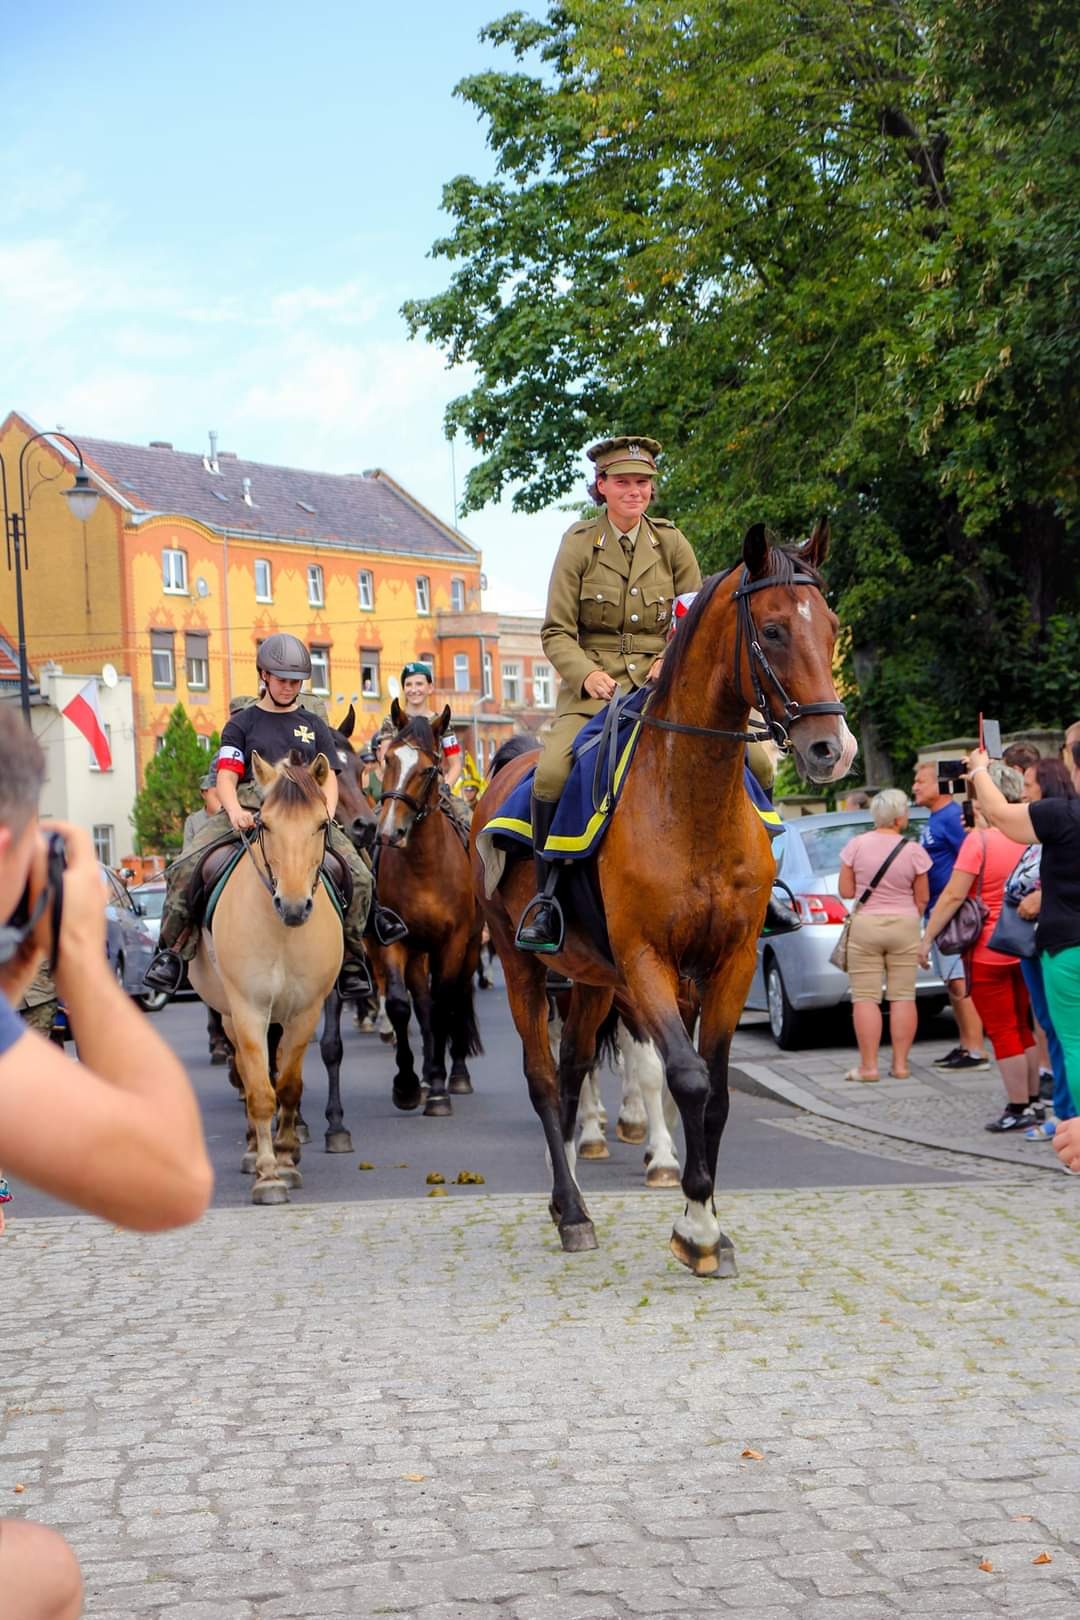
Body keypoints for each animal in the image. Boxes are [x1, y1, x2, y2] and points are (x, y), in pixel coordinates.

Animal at [189, 751, 344, 1205]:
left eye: (321, 824)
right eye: (265, 825)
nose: (293, 906)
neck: (282, 932)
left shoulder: (306, 1011)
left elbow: (288, 1085)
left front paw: (288, 1159)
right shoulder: (248, 1009)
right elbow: (259, 1090)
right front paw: (268, 1174)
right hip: (228, 1014)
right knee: (245, 1071)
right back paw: (252, 1150)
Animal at [374, 703, 484, 1117]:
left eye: (428, 769)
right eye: (387, 758)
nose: (389, 833)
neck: (423, 868)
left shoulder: (453, 944)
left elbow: (443, 1006)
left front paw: (439, 1091)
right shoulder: (393, 941)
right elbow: (401, 1006)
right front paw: (407, 1084)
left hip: (469, 947)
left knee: (455, 999)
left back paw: (454, 1075)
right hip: (419, 951)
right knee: (421, 1003)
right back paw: (425, 1075)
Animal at [472, 520, 856, 1275]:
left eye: (829, 626)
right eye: (772, 630)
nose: (833, 749)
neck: (690, 799)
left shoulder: (729, 962)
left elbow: (716, 1091)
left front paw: (701, 1214)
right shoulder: (646, 960)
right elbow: (686, 1077)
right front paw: (698, 1229)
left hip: (590, 980)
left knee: (572, 1072)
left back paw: (571, 1188)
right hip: (526, 967)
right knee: (542, 1079)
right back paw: (571, 1211)